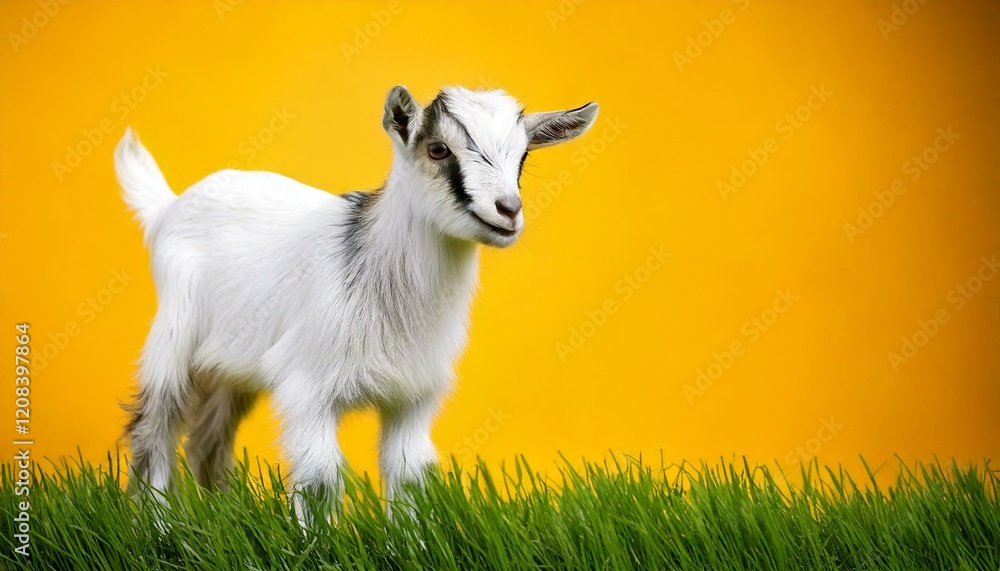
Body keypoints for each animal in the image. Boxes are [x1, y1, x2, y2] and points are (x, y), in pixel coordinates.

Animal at [115, 85, 598, 524]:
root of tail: (167, 207)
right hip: (174, 334)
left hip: (232, 366)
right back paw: (158, 529)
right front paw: (316, 547)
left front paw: (409, 543)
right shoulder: (306, 387)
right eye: (438, 149)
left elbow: (406, 473)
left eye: (523, 157)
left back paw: (223, 518)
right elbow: (319, 478)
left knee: (207, 440)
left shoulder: (413, 396)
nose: (508, 210)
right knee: (154, 427)